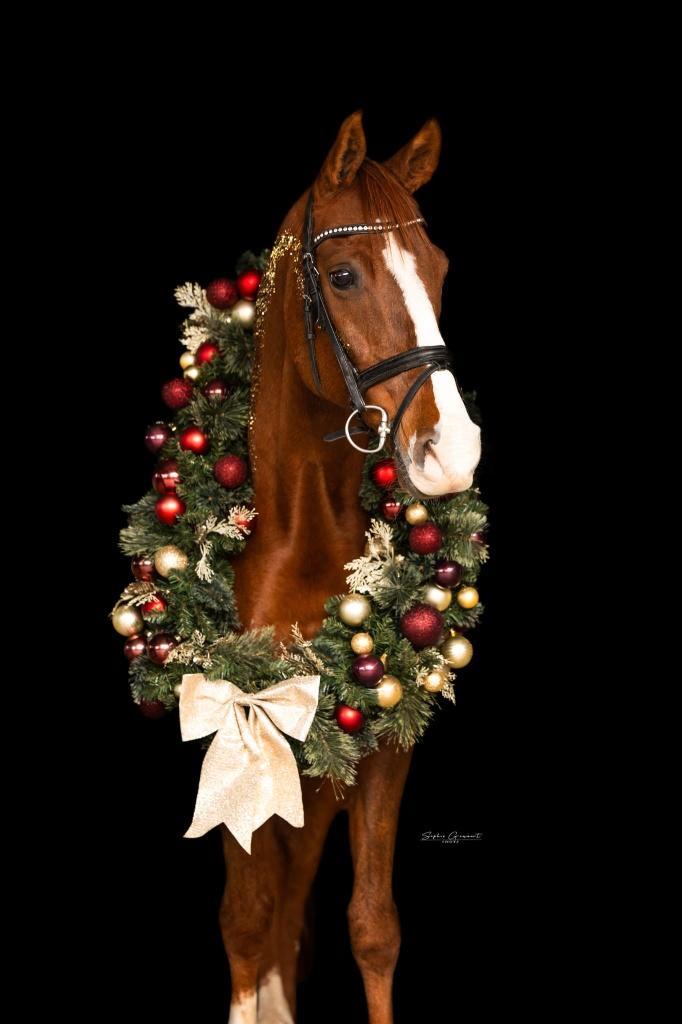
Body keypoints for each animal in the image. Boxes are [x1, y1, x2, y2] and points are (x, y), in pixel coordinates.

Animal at [223, 111, 481, 1024]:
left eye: (438, 268)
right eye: (342, 276)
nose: (455, 452)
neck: (302, 534)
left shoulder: (381, 740)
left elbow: (371, 927)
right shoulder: (241, 733)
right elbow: (248, 921)